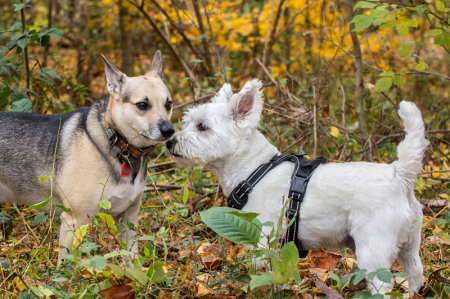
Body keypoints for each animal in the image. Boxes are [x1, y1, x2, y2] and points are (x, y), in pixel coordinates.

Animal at [167, 79, 428, 298]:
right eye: (187, 123)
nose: (170, 141)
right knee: (416, 274)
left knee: (382, 286)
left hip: (373, 250)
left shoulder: (262, 238)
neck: (254, 168)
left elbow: (262, 273)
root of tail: (400, 174)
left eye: (202, 127)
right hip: (409, 246)